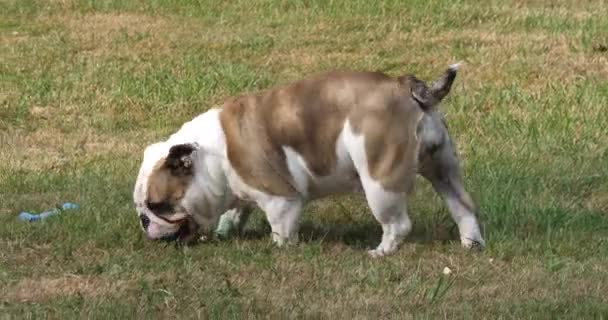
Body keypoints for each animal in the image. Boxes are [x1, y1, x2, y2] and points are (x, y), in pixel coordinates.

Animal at [133, 63, 484, 256]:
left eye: (158, 206)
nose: (143, 221)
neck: (211, 155)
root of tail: (406, 87)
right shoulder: (241, 191)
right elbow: (234, 213)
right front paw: (224, 232)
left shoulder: (280, 200)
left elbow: (281, 228)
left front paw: (281, 249)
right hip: (443, 168)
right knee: (463, 206)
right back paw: (472, 243)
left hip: (380, 182)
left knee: (398, 224)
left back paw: (380, 252)